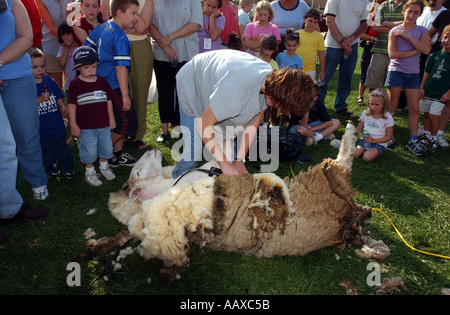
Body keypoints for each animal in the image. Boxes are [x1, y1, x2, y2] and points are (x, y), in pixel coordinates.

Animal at [107, 122, 370, 272]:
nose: (152, 149)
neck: (170, 185)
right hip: (329, 178)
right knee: (344, 159)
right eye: (136, 172)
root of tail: (351, 215)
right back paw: (350, 131)